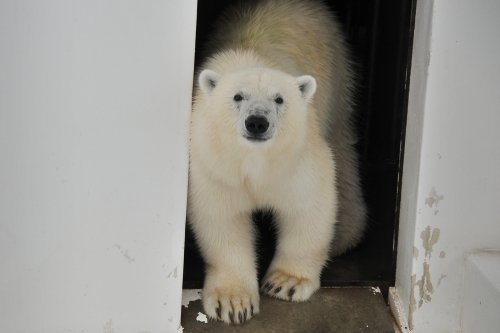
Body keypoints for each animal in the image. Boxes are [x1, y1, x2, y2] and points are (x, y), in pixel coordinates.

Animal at [186, 0, 366, 322]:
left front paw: (286, 282)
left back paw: (344, 234)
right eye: (238, 97)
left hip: (337, 76)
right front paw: (233, 303)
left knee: (343, 150)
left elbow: (308, 204)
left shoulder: (298, 155)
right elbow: (222, 216)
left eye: (279, 99)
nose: (257, 122)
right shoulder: (214, 161)